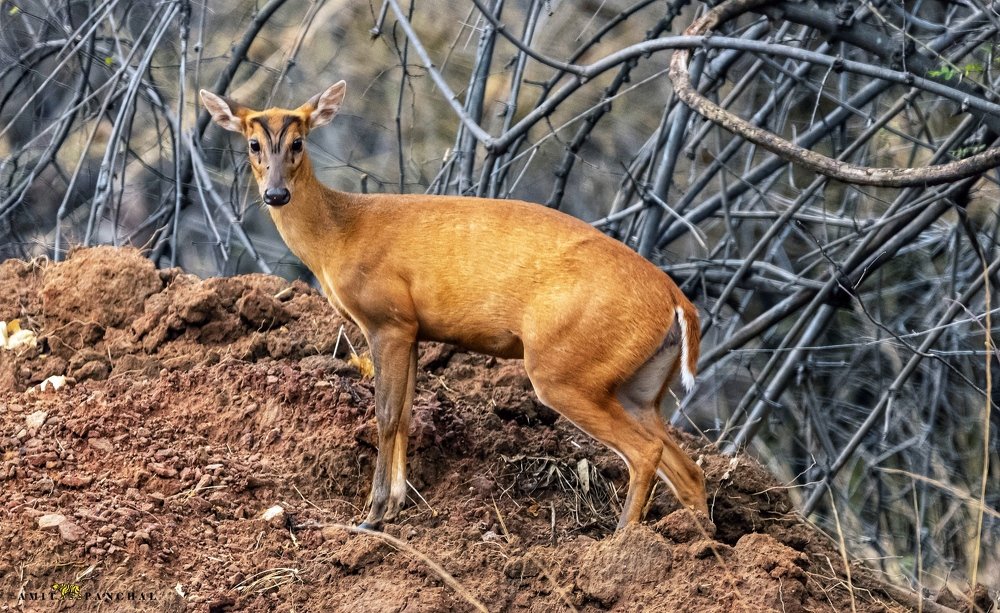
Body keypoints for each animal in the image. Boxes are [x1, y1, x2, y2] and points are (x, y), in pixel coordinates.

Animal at [200, 81, 707, 531]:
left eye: (298, 142)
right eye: (252, 144)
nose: (276, 194)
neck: (338, 235)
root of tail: (678, 302)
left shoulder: (387, 319)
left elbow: (386, 415)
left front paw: (373, 515)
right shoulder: (413, 329)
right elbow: (406, 413)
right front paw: (396, 505)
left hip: (565, 369)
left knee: (646, 452)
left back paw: (619, 544)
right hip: (639, 385)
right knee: (688, 469)